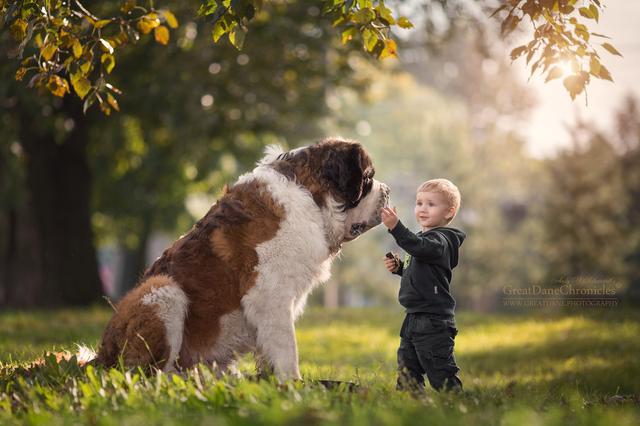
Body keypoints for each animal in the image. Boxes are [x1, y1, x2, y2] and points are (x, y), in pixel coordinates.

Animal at [95, 138, 390, 382]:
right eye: (368, 179)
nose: (387, 190)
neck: (311, 196)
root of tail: (100, 357)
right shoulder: (270, 296)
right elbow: (287, 347)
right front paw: (294, 387)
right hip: (163, 290)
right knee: (150, 375)